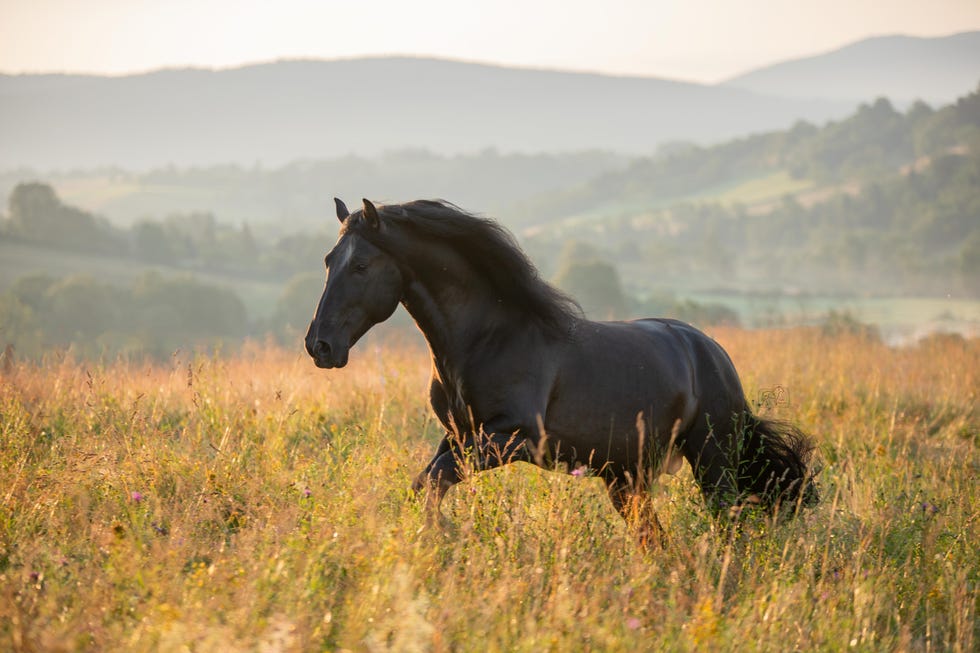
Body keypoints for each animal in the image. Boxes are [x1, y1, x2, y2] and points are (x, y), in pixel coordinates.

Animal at [310, 197, 816, 540]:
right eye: (328, 260)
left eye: (361, 265)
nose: (319, 345)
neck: (485, 339)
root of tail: (713, 354)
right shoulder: (456, 435)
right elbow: (424, 484)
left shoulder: (508, 438)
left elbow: (433, 481)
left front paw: (446, 535)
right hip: (625, 478)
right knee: (653, 538)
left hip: (713, 462)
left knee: (728, 522)